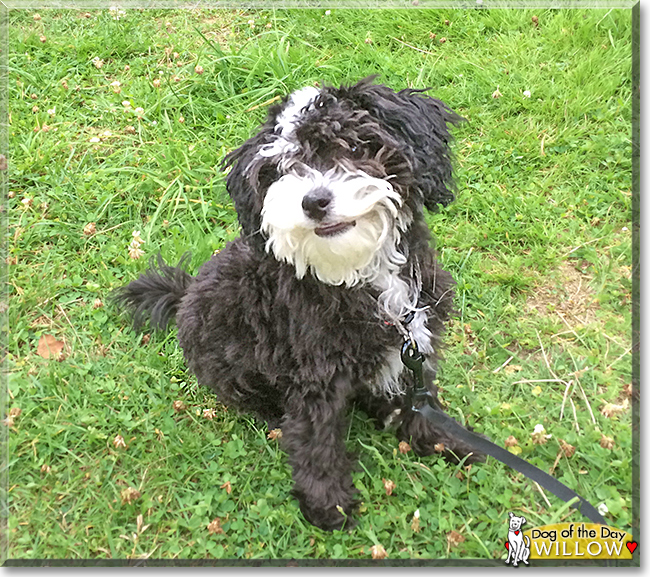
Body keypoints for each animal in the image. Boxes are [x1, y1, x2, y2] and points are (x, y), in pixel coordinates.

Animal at [115, 76, 480, 532]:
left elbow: (420, 393)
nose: (313, 202)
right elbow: (316, 438)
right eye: (279, 172)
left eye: (355, 145)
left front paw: (440, 439)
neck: (360, 274)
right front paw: (327, 504)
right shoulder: (314, 374)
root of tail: (186, 293)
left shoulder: (417, 335)